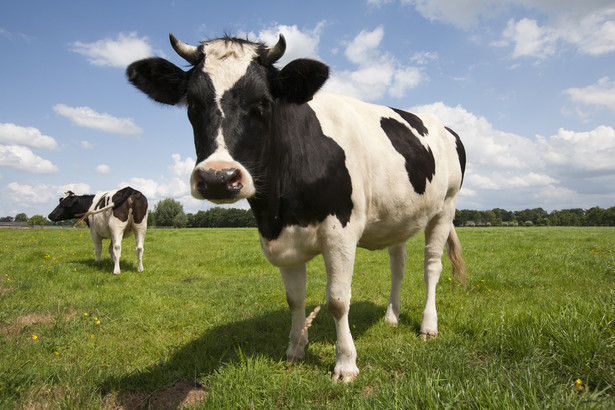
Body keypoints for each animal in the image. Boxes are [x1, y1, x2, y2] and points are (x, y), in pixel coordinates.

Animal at [126, 32, 466, 382]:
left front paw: (345, 364)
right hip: (398, 218)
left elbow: (338, 300)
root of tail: (444, 126)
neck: (278, 211)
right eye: (193, 104)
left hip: (445, 208)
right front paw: (295, 348)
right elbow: (294, 298)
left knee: (432, 266)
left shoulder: (341, 233)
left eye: (263, 102)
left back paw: (428, 325)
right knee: (398, 263)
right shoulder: (282, 240)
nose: (218, 177)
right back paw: (391, 316)